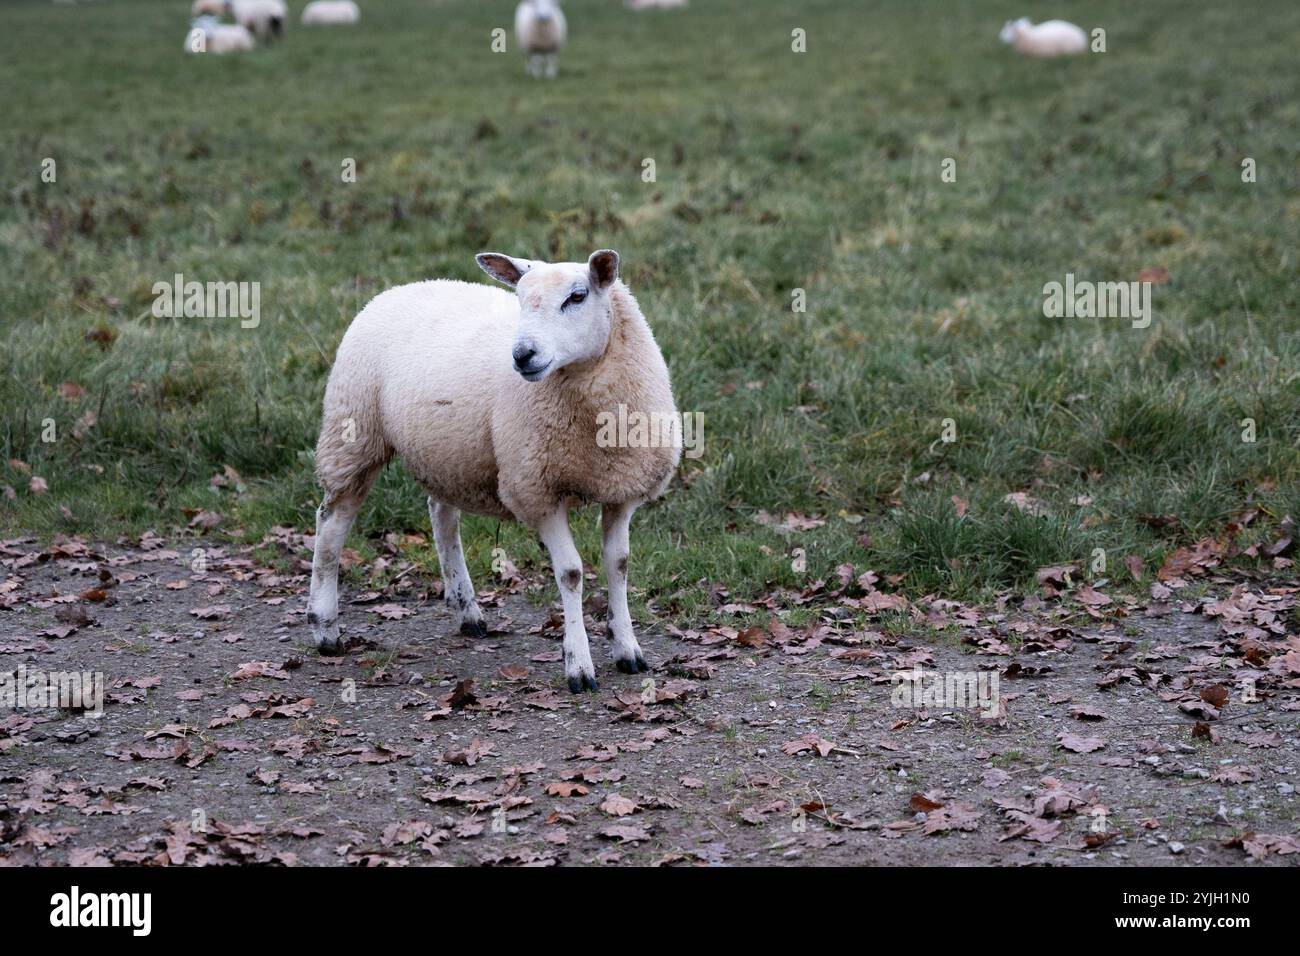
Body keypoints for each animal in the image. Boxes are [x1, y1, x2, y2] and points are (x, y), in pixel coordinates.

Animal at [308, 250, 681, 693]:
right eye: (519, 298)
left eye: (577, 296)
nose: (522, 355)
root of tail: (405, 286)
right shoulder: (536, 490)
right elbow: (571, 573)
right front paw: (578, 665)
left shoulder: (622, 488)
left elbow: (619, 564)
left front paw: (627, 649)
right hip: (353, 431)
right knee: (332, 523)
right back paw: (325, 627)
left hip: (449, 453)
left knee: (442, 516)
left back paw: (466, 610)